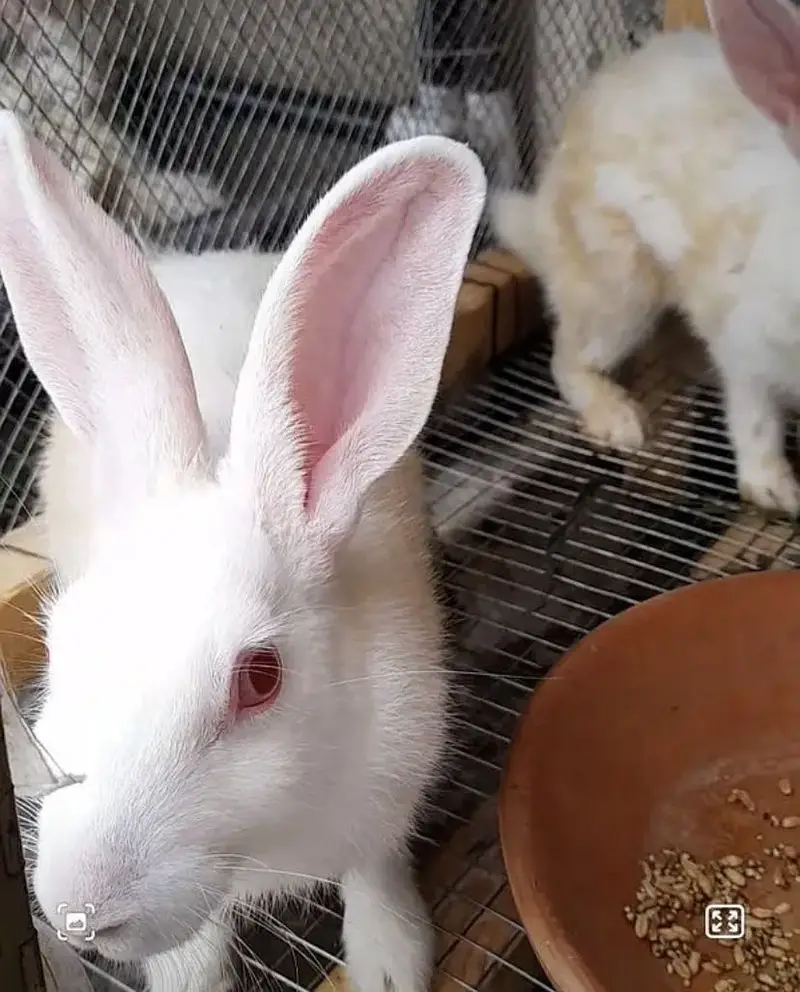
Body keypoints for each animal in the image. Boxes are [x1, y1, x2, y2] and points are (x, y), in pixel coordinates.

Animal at [0, 110, 486, 992]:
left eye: (260, 679)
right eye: (58, 647)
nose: (81, 912)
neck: (263, 843)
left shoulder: (389, 792)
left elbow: (376, 870)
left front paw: (391, 962)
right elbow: (190, 954)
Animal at [491, 0, 800, 518]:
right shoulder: (745, 341)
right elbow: (755, 417)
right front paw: (775, 491)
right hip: (620, 290)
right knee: (567, 360)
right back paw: (619, 419)